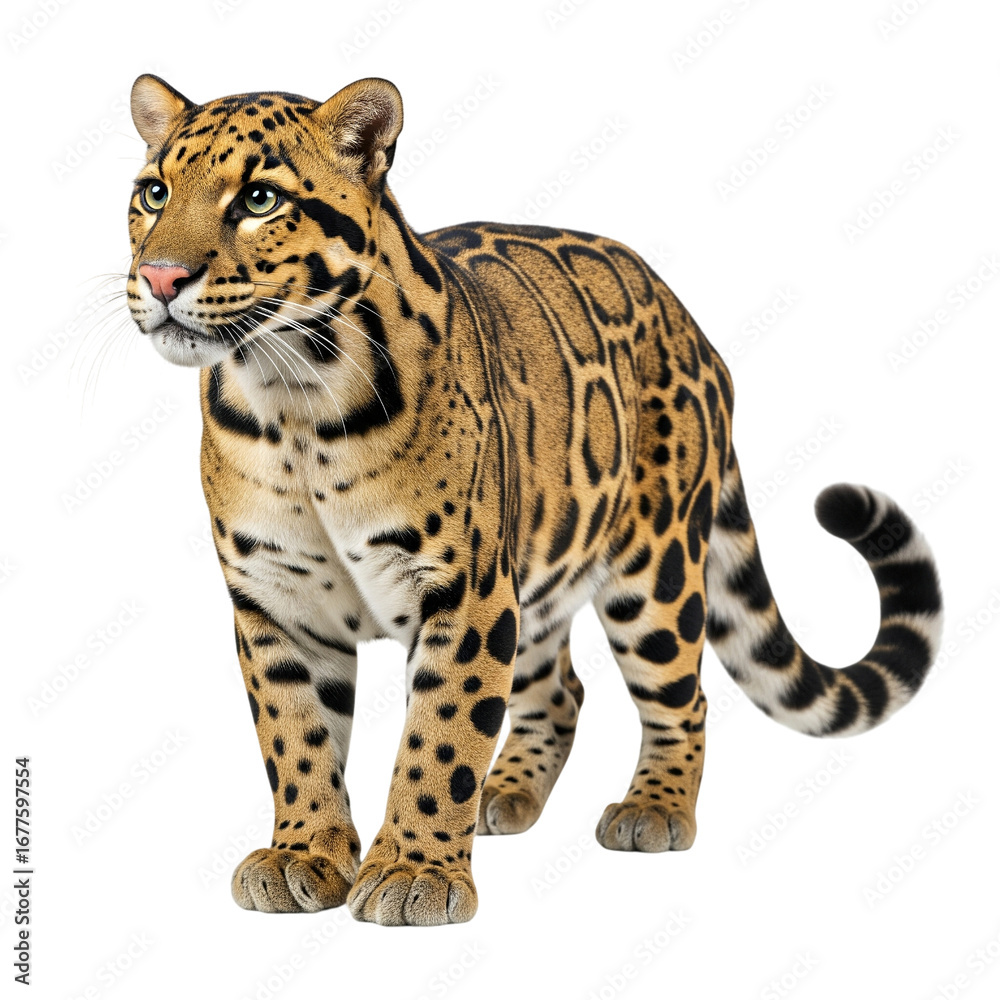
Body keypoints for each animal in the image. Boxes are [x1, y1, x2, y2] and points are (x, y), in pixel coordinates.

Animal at [124, 74, 944, 926]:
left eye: (258, 198)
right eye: (154, 193)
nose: (160, 277)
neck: (292, 400)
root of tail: (686, 319)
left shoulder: (463, 590)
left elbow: (440, 735)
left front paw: (414, 872)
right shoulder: (274, 600)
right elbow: (296, 736)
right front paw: (303, 854)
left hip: (653, 573)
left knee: (683, 697)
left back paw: (653, 809)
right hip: (539, 575)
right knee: (561, 690)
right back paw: (504, 794)